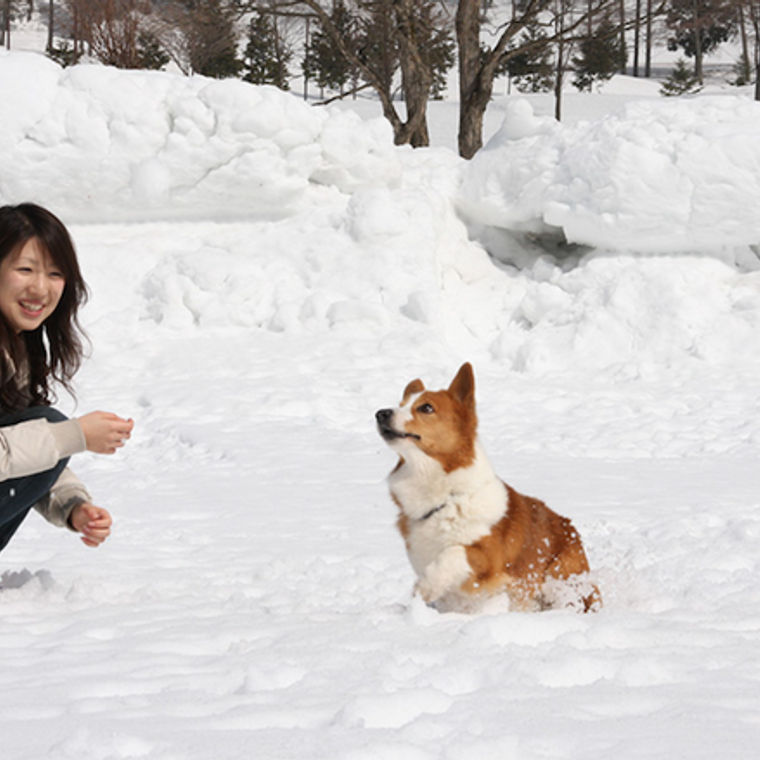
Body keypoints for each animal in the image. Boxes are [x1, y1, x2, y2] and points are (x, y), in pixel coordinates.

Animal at [374, 362, 600, 612]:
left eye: (426, 408)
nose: (381, 413)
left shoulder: (489, 560)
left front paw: (425, 587)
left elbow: (455, 552)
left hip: (561, 577)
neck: (448, 498)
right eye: (400, 404)